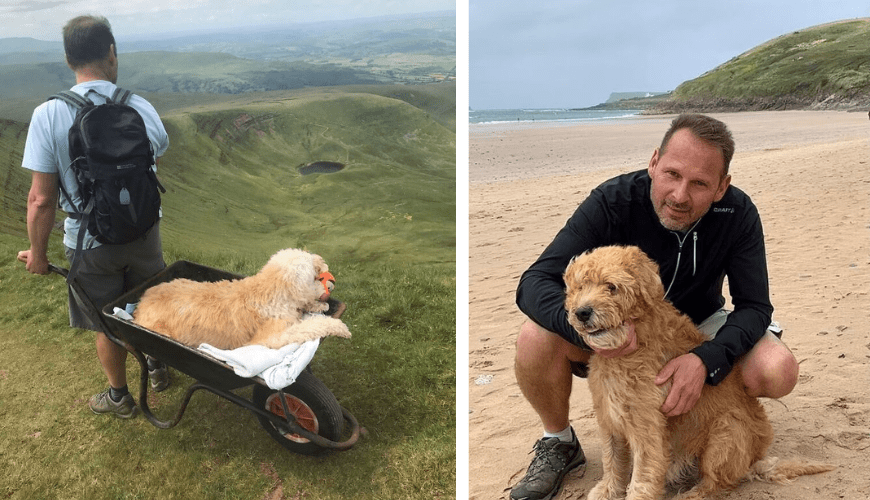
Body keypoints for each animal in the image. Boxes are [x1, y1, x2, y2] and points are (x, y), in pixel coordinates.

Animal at [135, 248, 352, 350]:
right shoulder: (269, 338)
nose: (324, 265)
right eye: (316, 275)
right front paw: (339, 327)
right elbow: (309, 327)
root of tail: (140, 302)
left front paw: (320, 306)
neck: (271, 291)